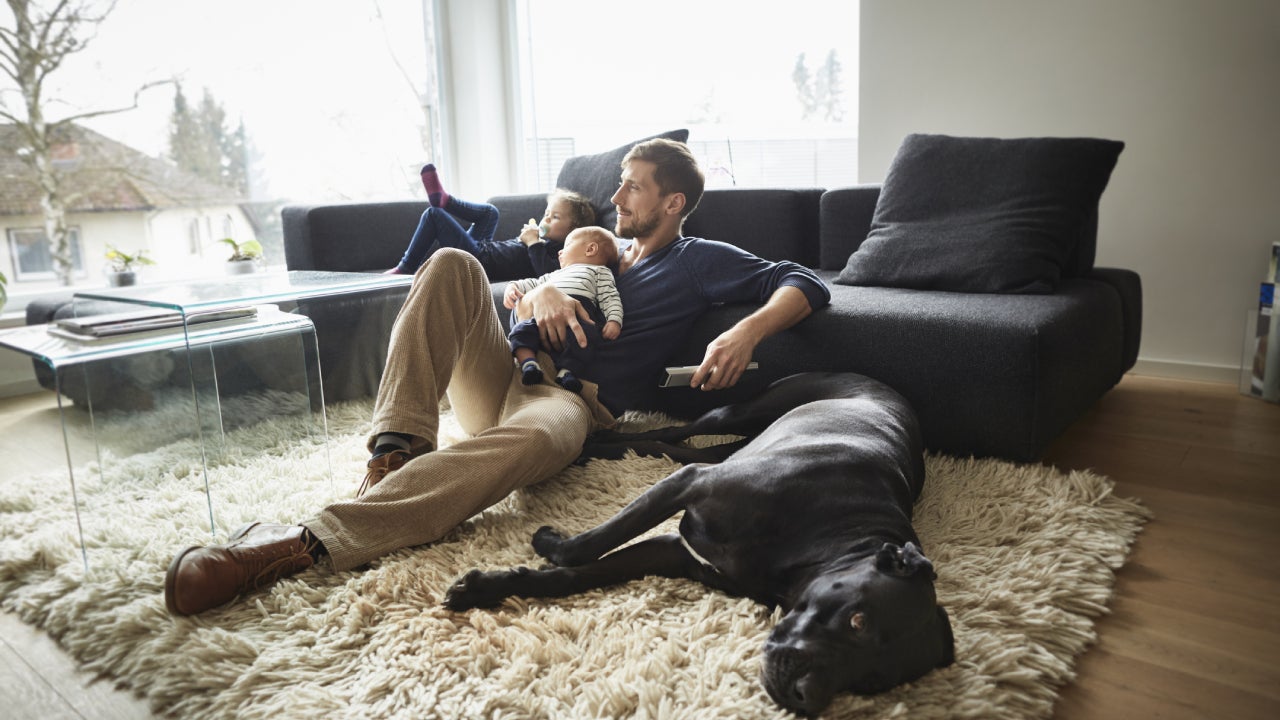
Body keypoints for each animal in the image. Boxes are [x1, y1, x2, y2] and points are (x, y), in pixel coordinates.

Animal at [445, 368, 957, 712]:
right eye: (858, 620)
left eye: (872, 681)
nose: (805, 698)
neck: (835, 536)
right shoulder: (690, 485)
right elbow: (590, 544)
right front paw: (548, 542)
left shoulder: (674, 553)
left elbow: (578, 574)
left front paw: (489, 587)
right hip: (738, 411)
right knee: (676, 430)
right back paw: (597, 443)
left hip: (731, 442)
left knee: (670, 445)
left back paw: (602, 448)